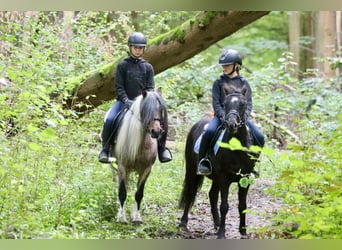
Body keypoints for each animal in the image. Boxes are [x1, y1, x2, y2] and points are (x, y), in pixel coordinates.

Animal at [179, 83, 260, 238]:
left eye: (243, 104)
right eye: (225, 104)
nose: (232, 125)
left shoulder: (245, 178)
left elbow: (243, 205)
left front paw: (243, 231)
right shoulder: (224, 178)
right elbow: (224, 206)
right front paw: (222, 233)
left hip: (215, 177)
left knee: (212, 195)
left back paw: (216, 224)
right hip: (192, 170)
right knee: (191, 193)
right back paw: (183, 224)